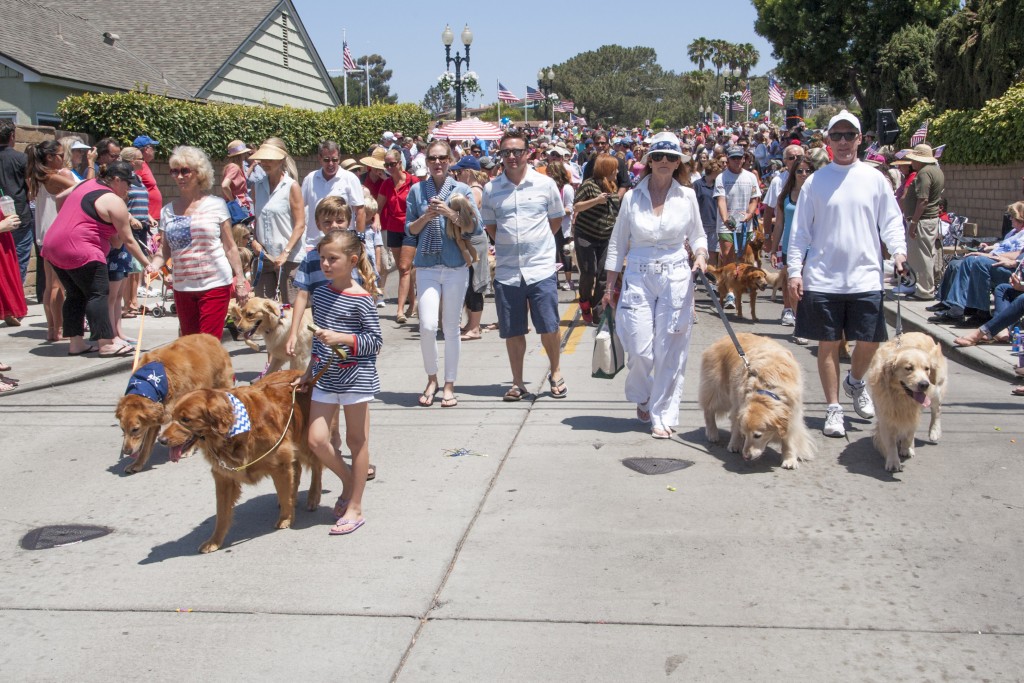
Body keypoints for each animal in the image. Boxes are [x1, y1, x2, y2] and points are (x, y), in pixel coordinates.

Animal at [115, 331, 233, 473]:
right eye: (122, 428)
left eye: (135, 429)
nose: (126, 451)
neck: (151, 381)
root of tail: (210, 337)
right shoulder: (156, 418)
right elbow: (146, 447)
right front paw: (137, 464)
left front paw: (188, 449)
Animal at [159, 370, 321, 552]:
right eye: (172, 416)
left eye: (186, 419)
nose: (161, 440)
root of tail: (300, 373)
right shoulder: (223, 476)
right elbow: (222, 513)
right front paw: (214, 540)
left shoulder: (280, 461)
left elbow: (285, 495)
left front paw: (286, 518)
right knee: (298, 470)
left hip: (307, 440)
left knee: (317, 466)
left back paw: (313, 497)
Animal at [696, 331, 815, 471]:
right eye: (745, 433)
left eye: (757, 436)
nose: (746, 456)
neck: (767, 389)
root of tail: (722, 339)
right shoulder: (738, 404)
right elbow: (736, 426)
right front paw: (734, 444)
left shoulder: (792, 412)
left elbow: (788, 439)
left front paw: (789, 459)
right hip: (718, 391)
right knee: (708, 410)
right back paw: (712, 433)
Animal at [868, 329, 946, 471]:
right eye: (908, 368)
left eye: (926, 368)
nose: (924, 384)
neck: (901, 396)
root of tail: (923, 333)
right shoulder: (885, 413)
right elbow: (891, 441)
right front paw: (893, 461)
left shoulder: (914, 411)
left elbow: (910, 430)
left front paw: (907, 447)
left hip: (935, 390)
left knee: (937, 410)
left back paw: (934, 432)